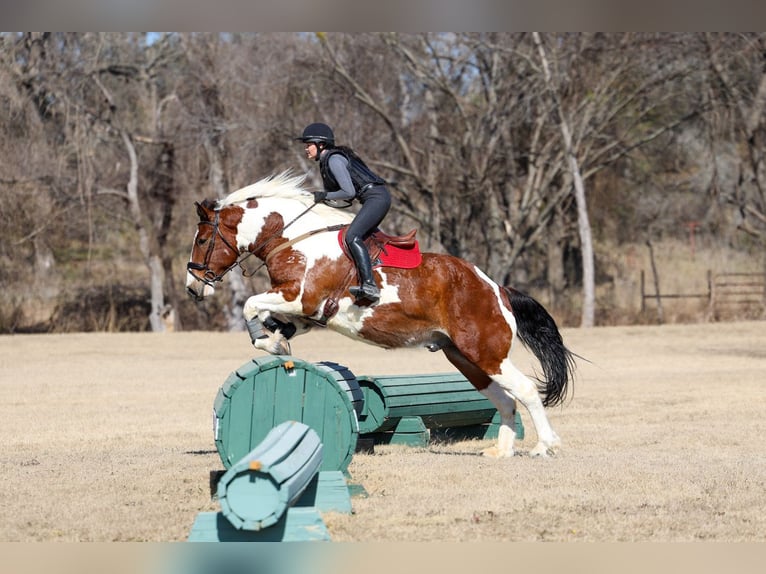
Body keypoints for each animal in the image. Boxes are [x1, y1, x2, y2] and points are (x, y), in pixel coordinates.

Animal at [185, 171, 576, 458]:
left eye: (202, 241)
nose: (193, 288)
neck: (294, 239)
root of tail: (496, 288)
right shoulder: (304, 313)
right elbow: (274, 322)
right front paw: (276, 343)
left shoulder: (300, 298)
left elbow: (251, 305)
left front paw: (269, 342)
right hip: (464, 357)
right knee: (504, 398)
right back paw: (502, 451)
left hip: (485, 351)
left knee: (525, 390)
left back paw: (545, 446)